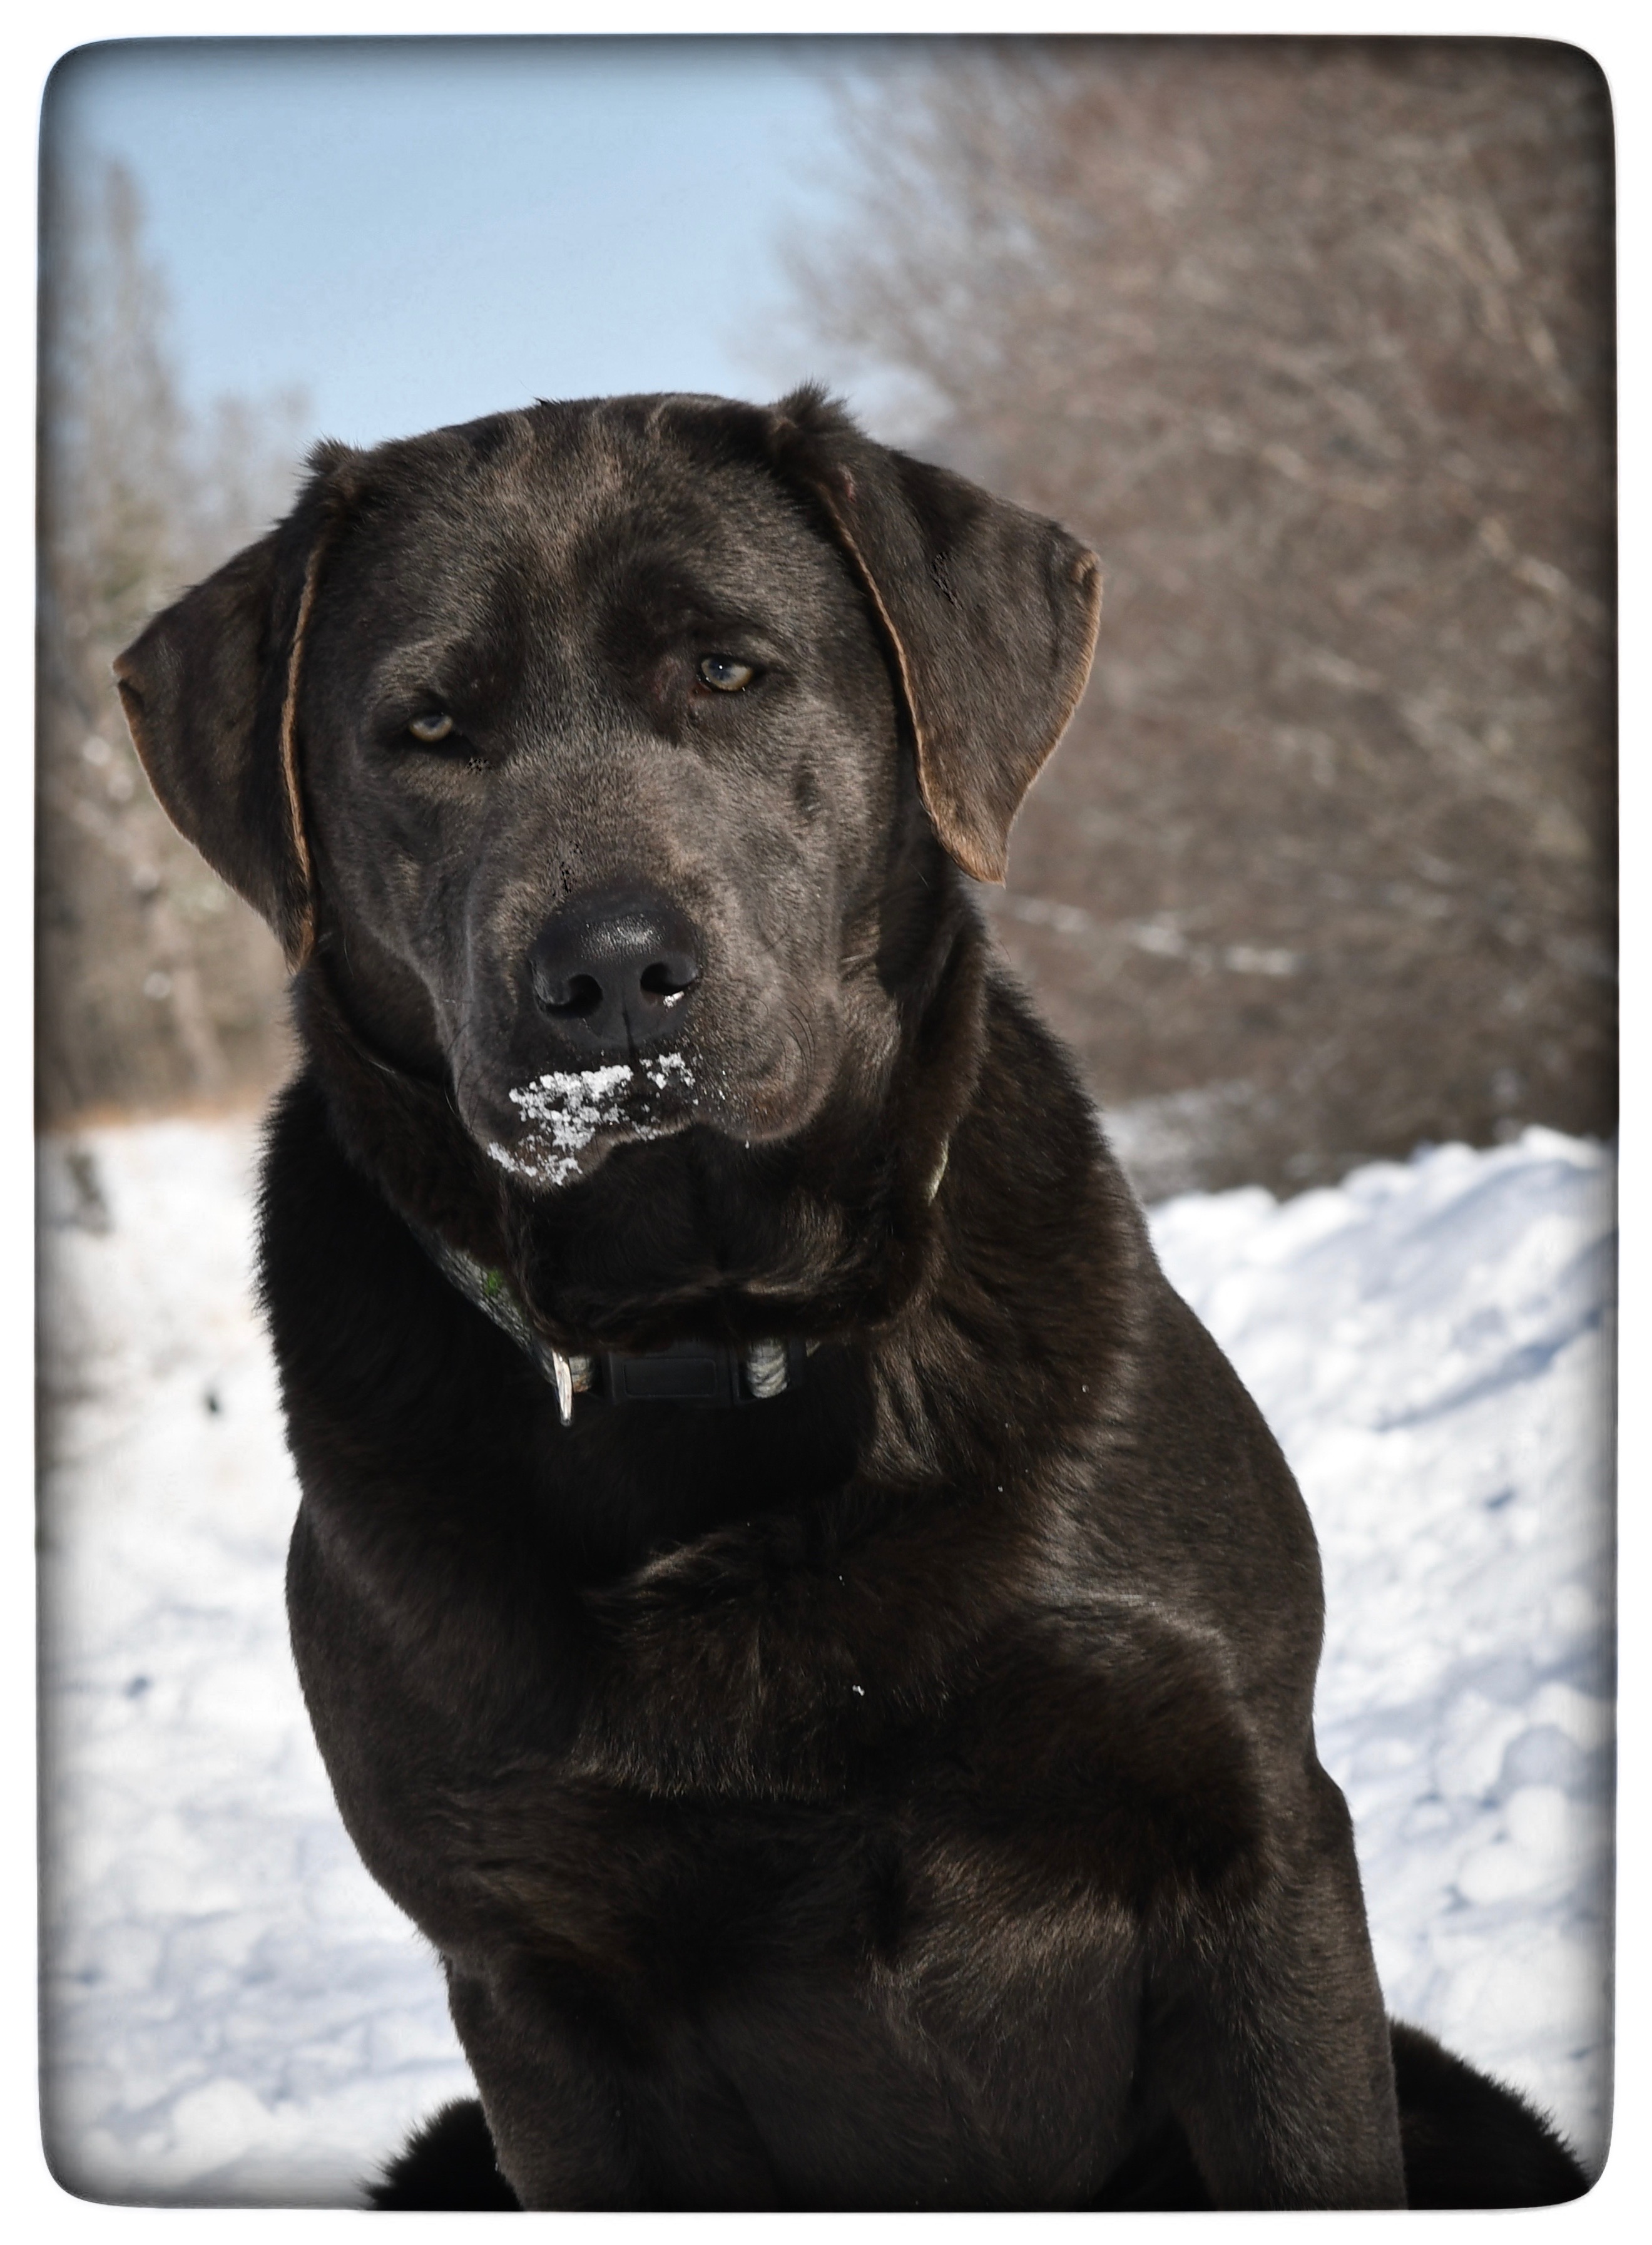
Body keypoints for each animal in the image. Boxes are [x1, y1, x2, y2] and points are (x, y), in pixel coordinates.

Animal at [116, 386, 1589, 2209]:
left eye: (728, 669)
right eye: (429, 725)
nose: (608, 973)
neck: (727, 1341)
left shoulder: (1252, 1838)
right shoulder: (529, 1976)